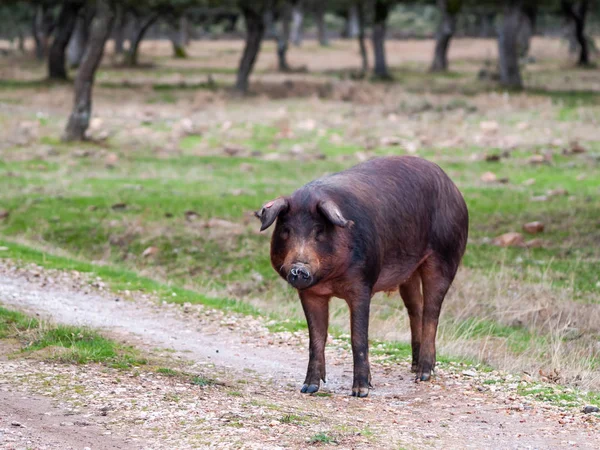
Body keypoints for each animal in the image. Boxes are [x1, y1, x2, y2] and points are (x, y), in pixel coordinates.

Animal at [254, 156, 468, 398]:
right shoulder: (311, 293)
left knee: (432, 312)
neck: (331, 282)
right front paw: (308, 389)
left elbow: (358, 337)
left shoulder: (362, 284)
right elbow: (316, 338)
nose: (299, 269)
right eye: (286, 230)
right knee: (416, 310)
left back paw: (422, 375)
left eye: (319, 231)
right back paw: (414, 367)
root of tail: (453, 188)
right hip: (409, 273)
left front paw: (361, 391)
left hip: (445, 256)